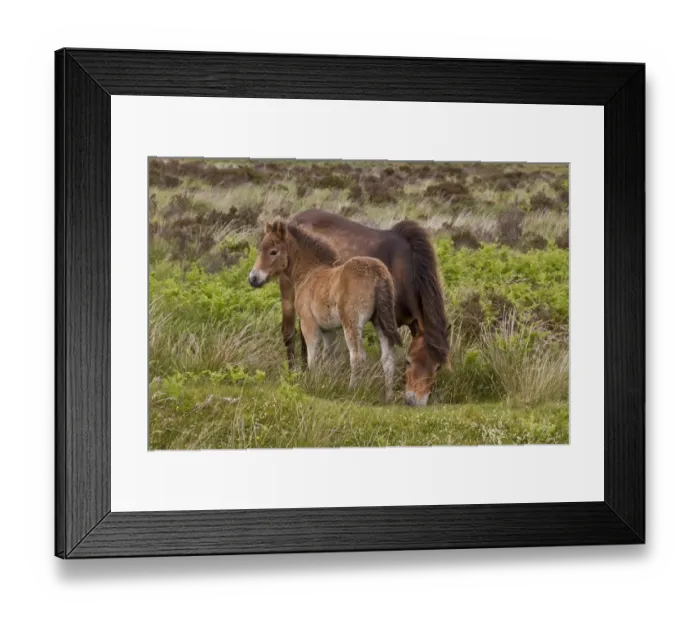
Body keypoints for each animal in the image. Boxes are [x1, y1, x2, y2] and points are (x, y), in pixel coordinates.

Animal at [249, 219, 403, 401]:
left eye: (273, 251)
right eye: (260, 249)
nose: (253, 278)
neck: (309, 272)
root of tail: (377, 272)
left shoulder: (308, 323)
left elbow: (312, 355)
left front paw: (312, 384)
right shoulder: (329, 330)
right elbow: (330, 357)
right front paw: (328, 383)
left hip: (351, 322)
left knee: (357, 355)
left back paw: (352, 390)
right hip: (380, 321)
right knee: (388, 359)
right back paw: (388, 396)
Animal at [277, 209, 450, 406]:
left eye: (437, 367)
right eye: (408, 362)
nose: (415, 402)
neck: (403, 267)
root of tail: (296, 218)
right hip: (288, 296)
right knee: (290, 334)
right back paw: (294, 374)